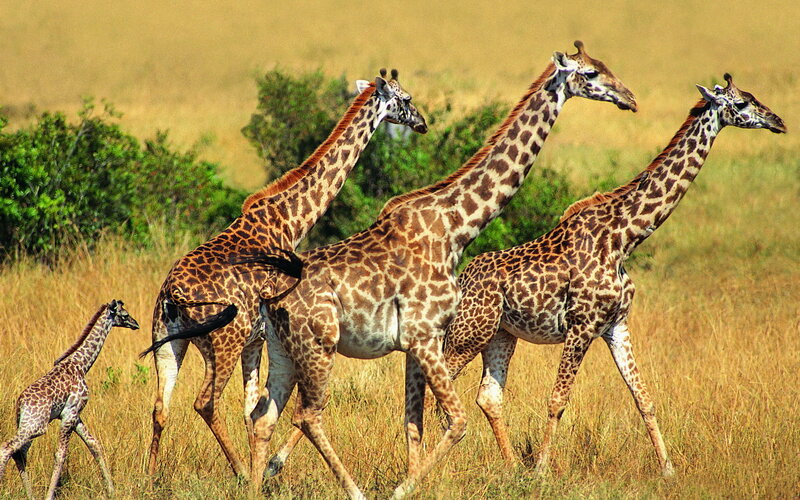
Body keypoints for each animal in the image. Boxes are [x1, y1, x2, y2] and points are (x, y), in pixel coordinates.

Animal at [0, 300, 140, 500]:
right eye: (125, 314)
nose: (136, 324)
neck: (81, 364)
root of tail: (20, 403)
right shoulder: (70, 414)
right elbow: (60, 455)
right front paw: (49, 496)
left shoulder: (75, 414)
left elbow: (94, 445)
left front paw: (112, 490)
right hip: (36, 426)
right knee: (6, 448)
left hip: (27, 425)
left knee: (19, 452)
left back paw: (31, 495)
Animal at [143, 69, 428, 480]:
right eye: (406, 99)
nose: (422, 123)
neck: (291, 220)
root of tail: (173, 296)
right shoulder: (271, 336)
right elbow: (285, 408)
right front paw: (267, 469)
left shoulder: (256, 341)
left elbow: (251, 410)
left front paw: (263, 465)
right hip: (222, 342)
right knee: (205, 402)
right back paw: (240, 472)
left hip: (167, 341)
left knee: (160, 407)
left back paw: (149, 478)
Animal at [221, 41, 637, 498]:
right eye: (591, 74)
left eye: (603, 66)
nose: (629, 98)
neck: (456, 228)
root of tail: (269, 298)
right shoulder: (423, 336)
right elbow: (457, 421)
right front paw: (403, 489)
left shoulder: (418, 342)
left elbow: (413, 421)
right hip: (318, 345)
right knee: (307, 415)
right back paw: (352, 490)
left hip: (281, 349)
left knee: (264, 416)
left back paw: (254, 486)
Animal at [440, 73, 787, 477]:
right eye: (742, 103)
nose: (778, 121)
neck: (624, 238)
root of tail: (462, 278)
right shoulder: (581, 325)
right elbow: (557, 399)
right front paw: (541, 471)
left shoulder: (616, 324)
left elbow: (644, 397)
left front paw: (668, 469)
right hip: (469, 333)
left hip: (499, 334)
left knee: (488, 396)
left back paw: (509, 467)